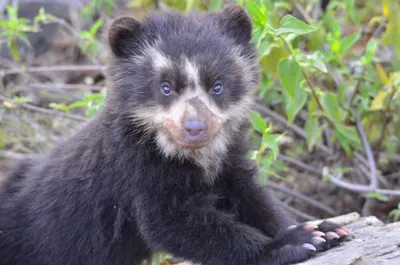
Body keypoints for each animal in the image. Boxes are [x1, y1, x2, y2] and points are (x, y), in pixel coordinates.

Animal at [0, 5, 348, 264]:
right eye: (166, 87)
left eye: (217, 85)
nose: (195, 128)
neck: (187, 154)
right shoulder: (137, 169)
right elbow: (174, 222)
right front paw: (293, 244)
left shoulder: (229, 157)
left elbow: (250, 195)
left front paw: (323, 229)